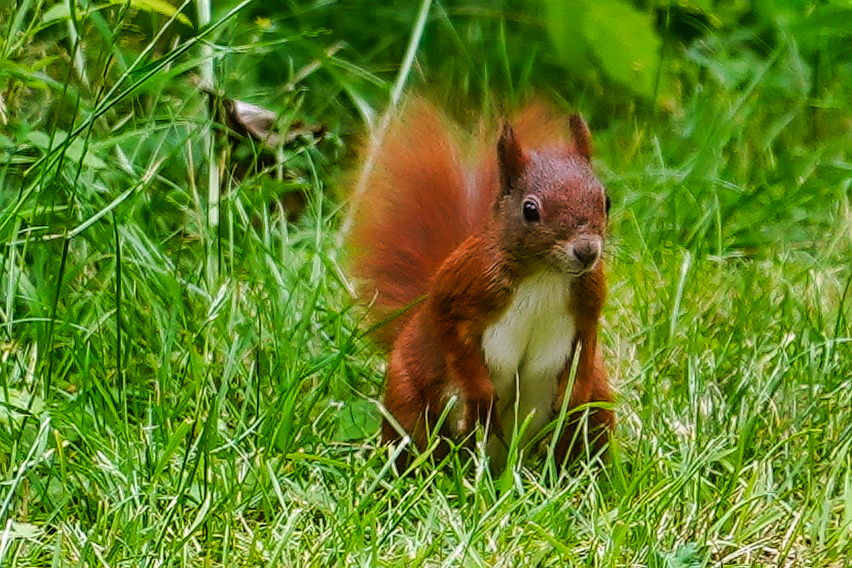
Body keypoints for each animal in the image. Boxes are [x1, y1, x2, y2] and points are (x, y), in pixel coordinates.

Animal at [348, 98, 612, 470]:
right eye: (530, 210)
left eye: (607, 201)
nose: (587, 251)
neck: (545, 276)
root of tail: (508, 461)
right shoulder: (461, 292)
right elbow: (458, 346)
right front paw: (483, 399)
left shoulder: (589, 301)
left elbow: (585, 352)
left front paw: (574, 399)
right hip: (408, 400)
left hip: (600, 409)